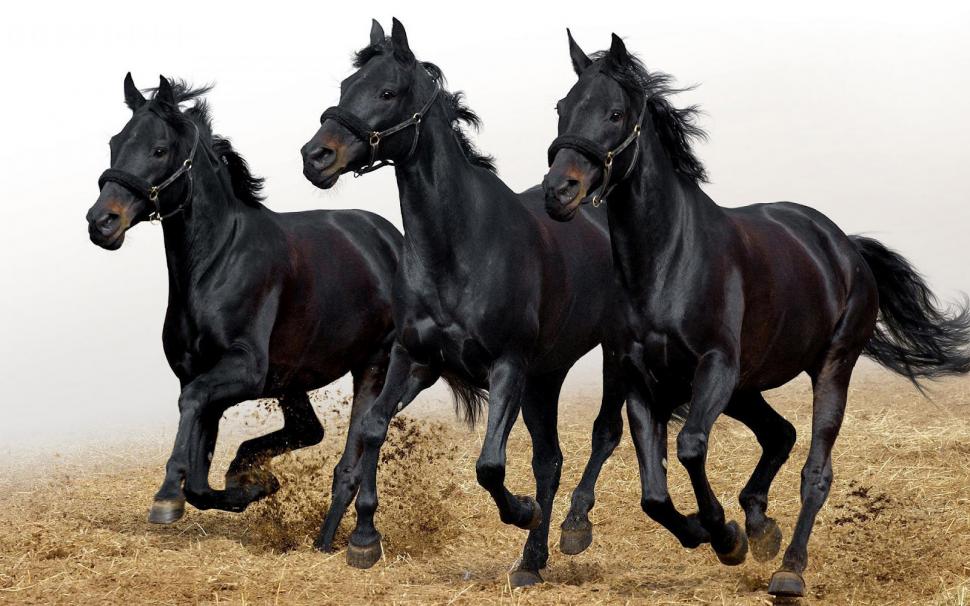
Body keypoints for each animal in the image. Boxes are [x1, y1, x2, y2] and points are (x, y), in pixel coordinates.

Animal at [86, 74, 403, 527]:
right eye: (115, 142)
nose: (101, 222)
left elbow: (191, 405)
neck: (217, 263)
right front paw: (251, 486)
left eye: (159, 149)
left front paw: (167, 496)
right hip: (292, 379)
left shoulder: (244, 369)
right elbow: (199, 478)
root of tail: (391, 239)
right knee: (309, 430)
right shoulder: (200, 373)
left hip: (372, 364)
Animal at [300, 18, 624, 586]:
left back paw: (572, 528)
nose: (315, 157)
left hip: (609, 353)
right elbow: (372, 428)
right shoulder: (413, 358)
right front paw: (363, 540)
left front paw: (521, 511)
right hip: (546, 376)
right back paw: (531, 563)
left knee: (603, 434)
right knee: (550, 460)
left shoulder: (507, 367)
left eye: (387, 92)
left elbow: (489, 464)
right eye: (345, 86)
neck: (458, 248)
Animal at [541, 32, 970, 598]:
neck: (667, 261)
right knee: (780, 433)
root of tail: (844, 247)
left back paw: (788, 568)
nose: (558, 192)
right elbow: (652, 491)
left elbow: (690, 446)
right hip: (748, 386)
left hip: (829, 368)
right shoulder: (640, 378)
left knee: (815, 469)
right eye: (561, 108)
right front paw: (710, 531)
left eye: (615, 113)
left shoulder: (715, 368)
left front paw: (724, 535)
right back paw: (762, 526)